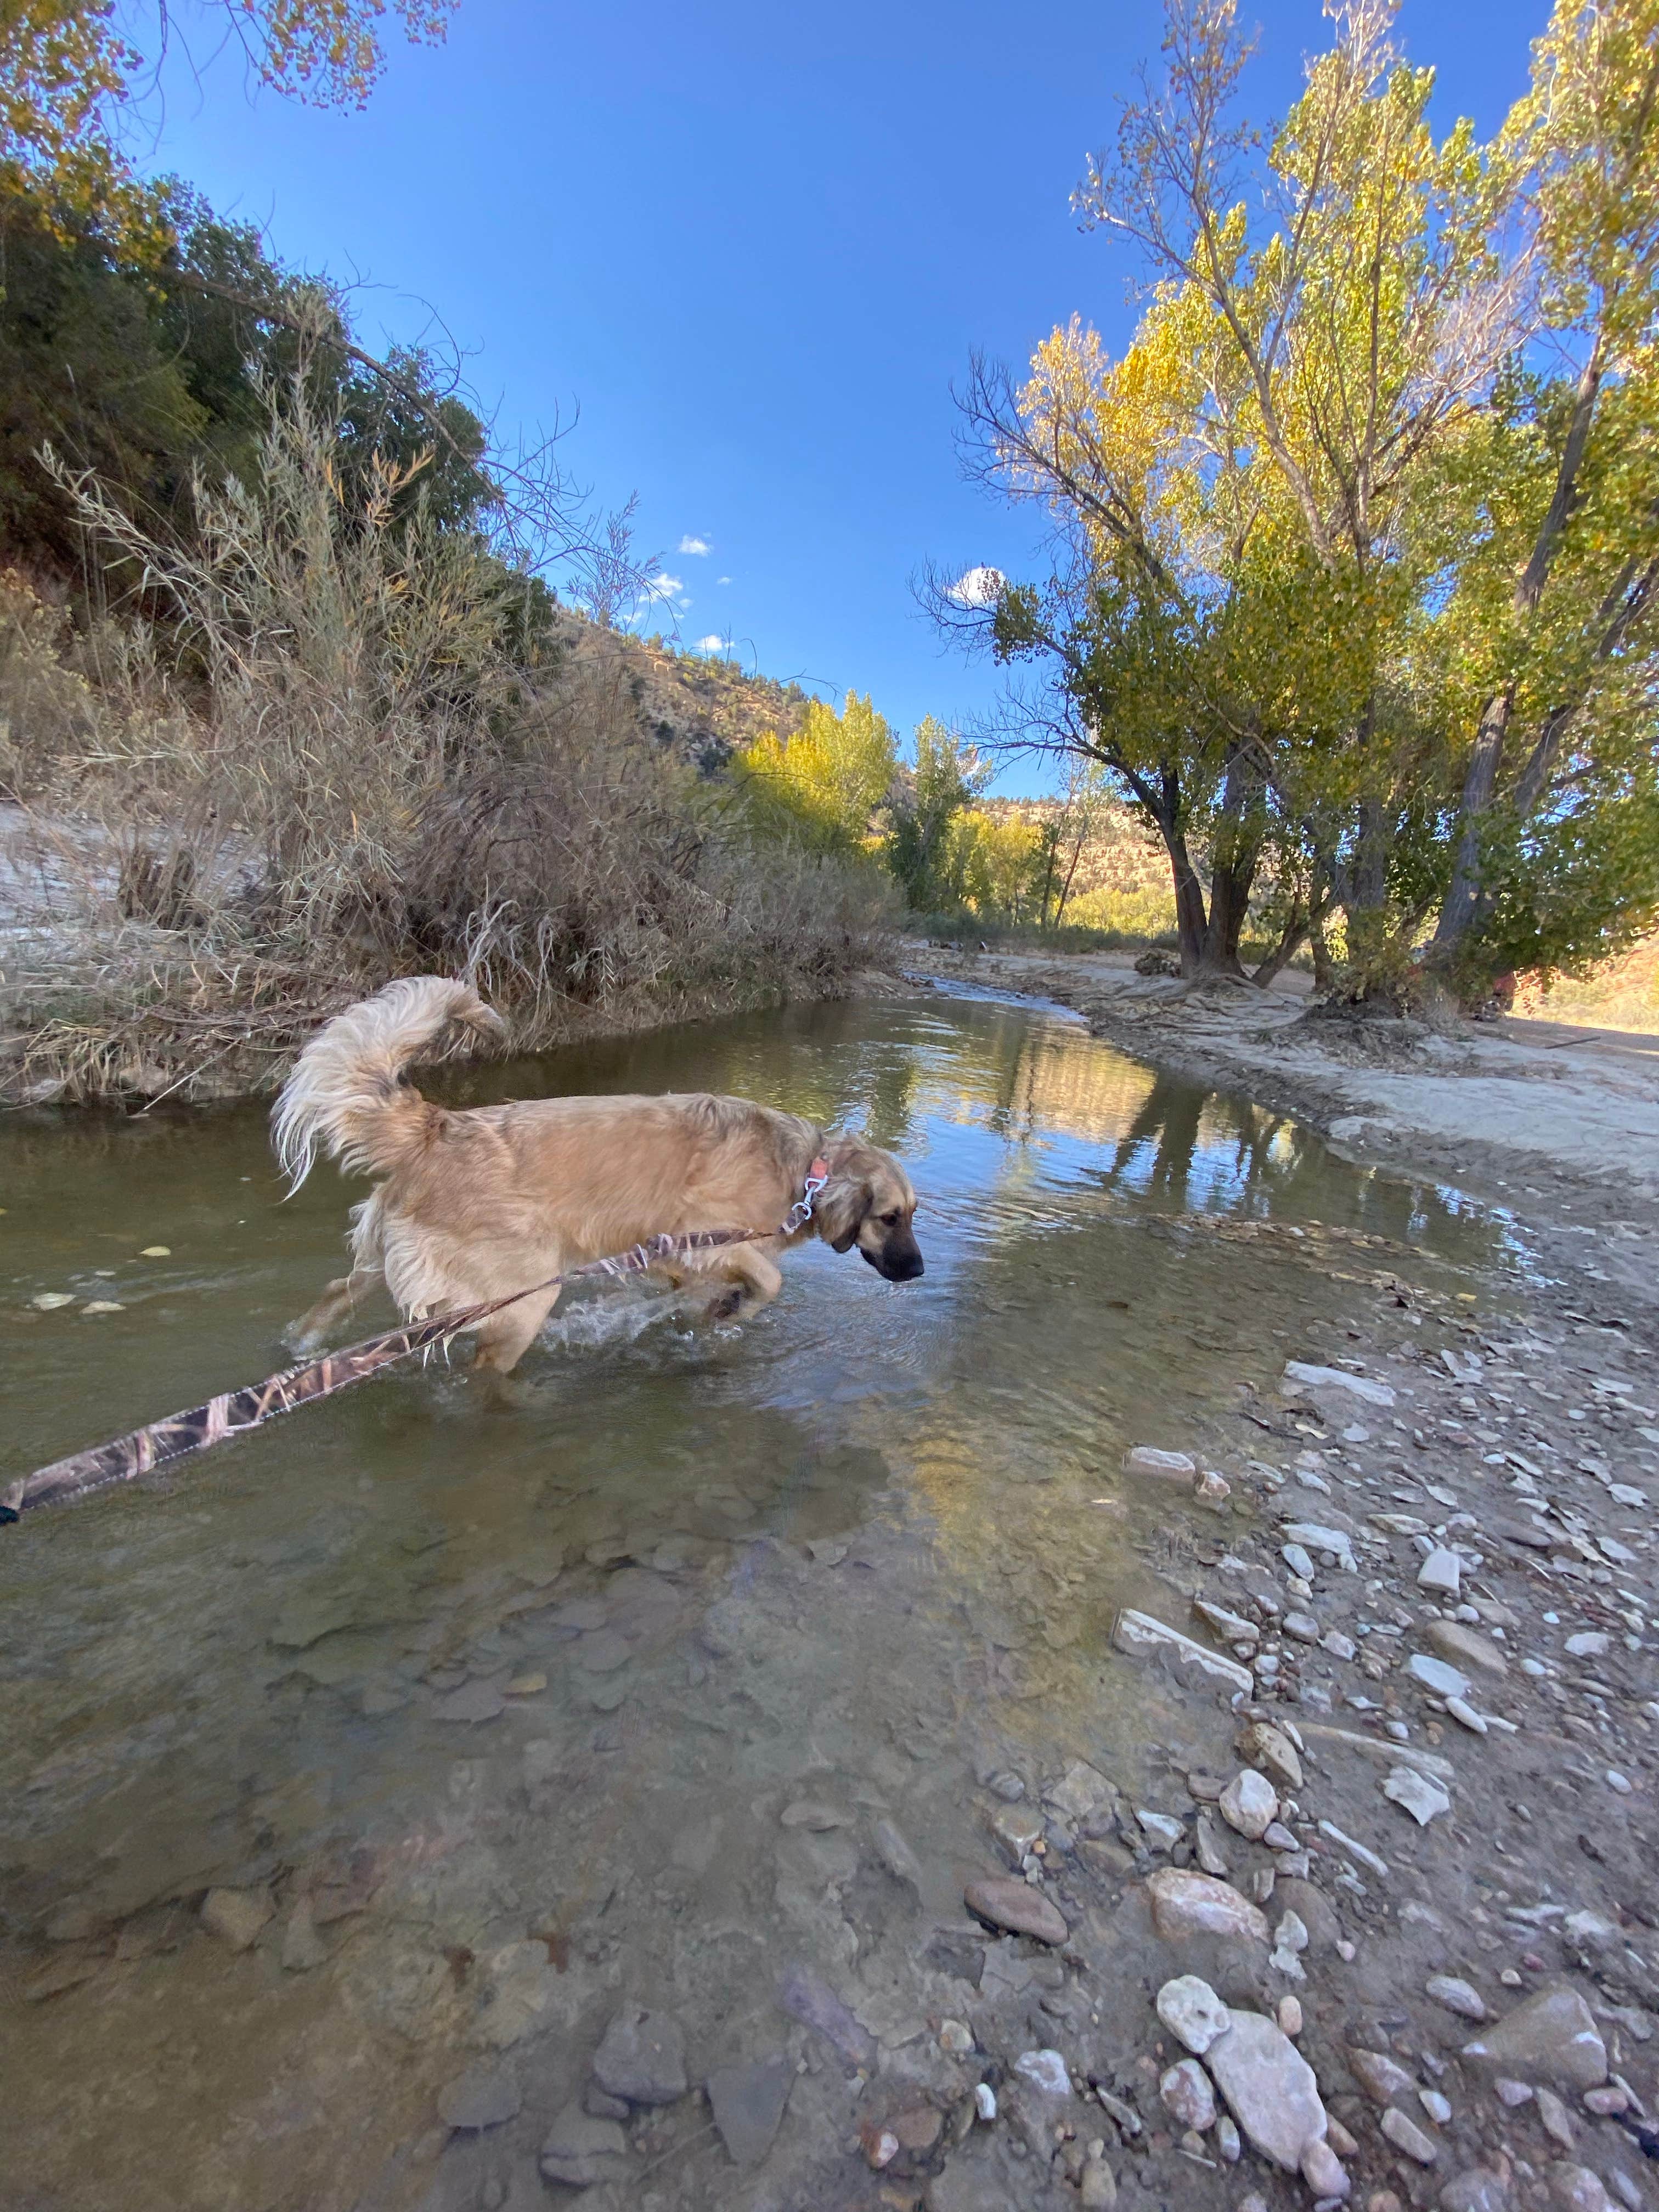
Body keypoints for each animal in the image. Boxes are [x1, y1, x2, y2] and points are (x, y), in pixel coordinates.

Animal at [273, 973, 924, 1362]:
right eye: (890, 1217)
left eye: (911, 1215)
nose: (919, 1272)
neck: (804, 1171)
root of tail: (439, 1127)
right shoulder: (701, 1235)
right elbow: (770, 1281)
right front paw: (733, 1309)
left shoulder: (672, 1260)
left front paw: (714, 1312)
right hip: (522, 1301)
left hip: (388, 1262)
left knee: (337, 1293)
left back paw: (301, 1348)